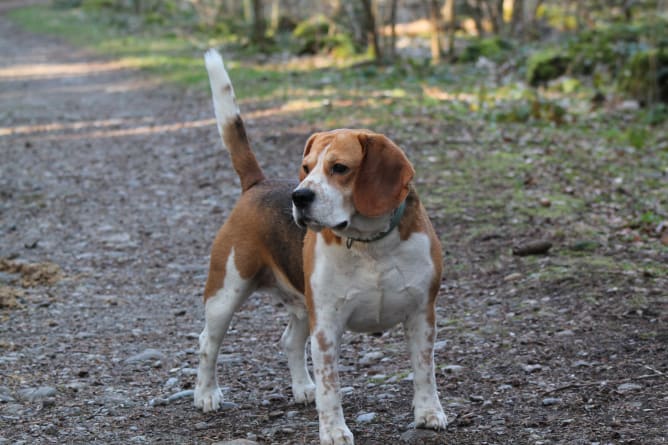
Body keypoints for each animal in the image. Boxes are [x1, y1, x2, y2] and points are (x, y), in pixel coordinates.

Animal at [196, 49, 446, 444]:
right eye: (307, 166)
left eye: (339, 167)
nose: (299, 197)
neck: (370, 246)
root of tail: (258, 183)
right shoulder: (327, 326)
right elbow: (332, 388)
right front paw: (333, 430)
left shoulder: (423, 313)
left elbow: (424, 370)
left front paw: (429, 413)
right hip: (226, 292)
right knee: (208, 342)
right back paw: (206, 394)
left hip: (302, 306)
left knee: (289, 341)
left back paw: (303, 388)